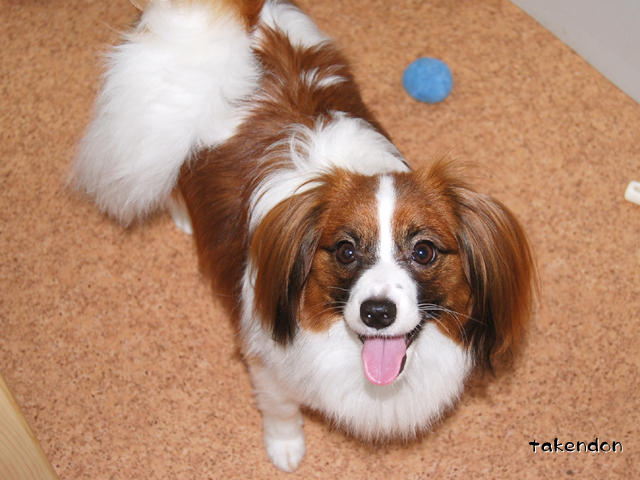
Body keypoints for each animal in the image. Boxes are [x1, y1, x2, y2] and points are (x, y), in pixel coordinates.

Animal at [73, 0, 536, 472]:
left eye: (424, 252)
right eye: (346, 251)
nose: (377, 313)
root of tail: (244, 16)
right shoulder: (266, 362)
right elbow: (281, 410)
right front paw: (285, 447)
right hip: (156, 130)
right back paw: (183, 214)